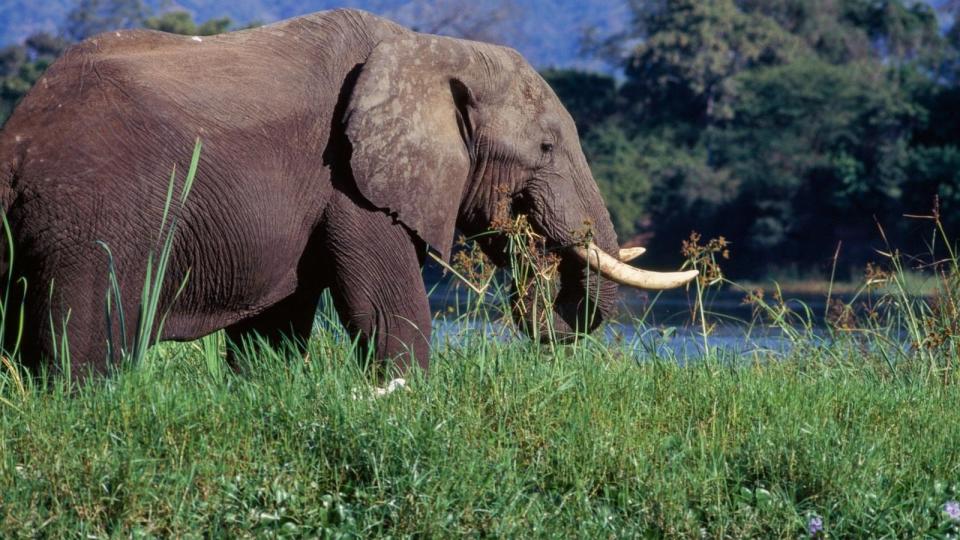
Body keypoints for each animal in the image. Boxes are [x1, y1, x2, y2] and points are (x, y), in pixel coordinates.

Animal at [0, 8, 692, 380]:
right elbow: (388, 311)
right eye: (545, 149)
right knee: (83, 348)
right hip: (90, 224)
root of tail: (15, 140)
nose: (541, 299)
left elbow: (275, 328)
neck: (428, 47)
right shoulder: (349, 181)